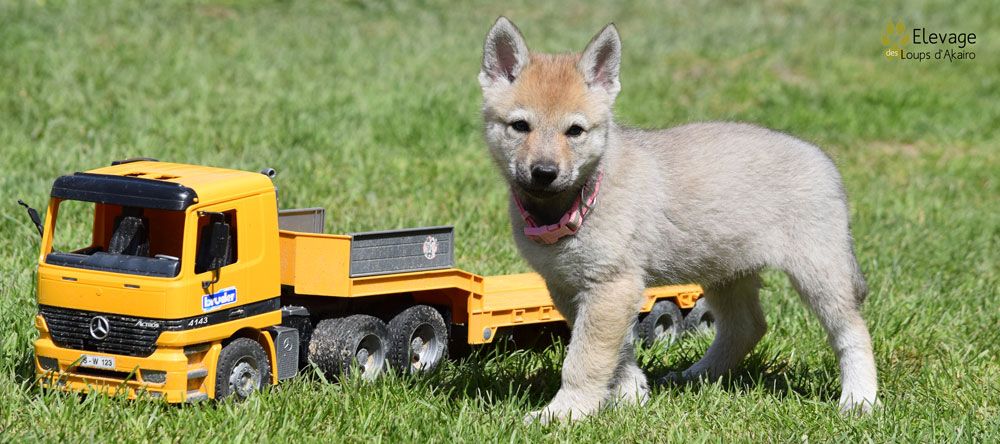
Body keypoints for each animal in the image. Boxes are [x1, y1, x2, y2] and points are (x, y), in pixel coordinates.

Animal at [478, 17, 878, 423]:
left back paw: (859, 399)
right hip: (726, 270)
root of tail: (825, 162)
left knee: (853, 332)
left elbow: (585, 360)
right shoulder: (570, 288)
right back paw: (695, 376)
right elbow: (616, 352)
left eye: (574, 131)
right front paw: (632, 393)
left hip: (818, 274)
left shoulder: (611, 286)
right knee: (746, 328)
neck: (576, 202)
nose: (544, 172)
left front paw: (564, 413)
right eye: (520, 126)